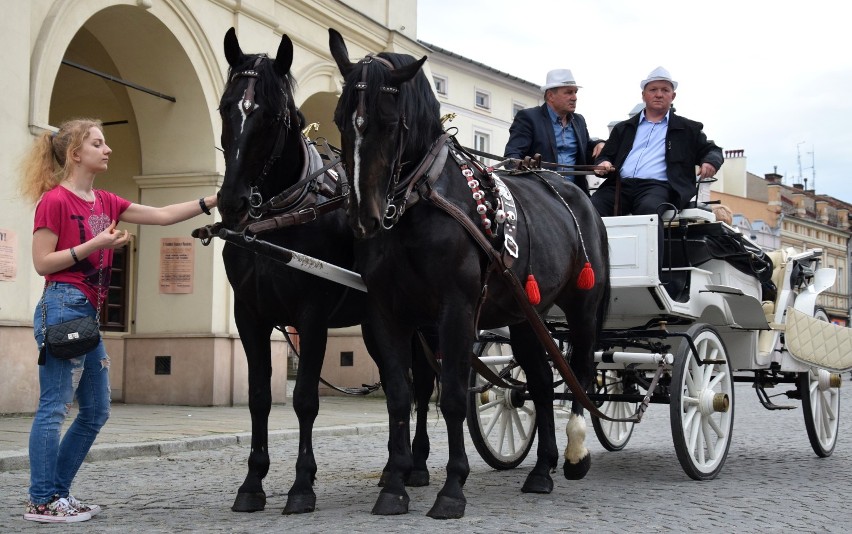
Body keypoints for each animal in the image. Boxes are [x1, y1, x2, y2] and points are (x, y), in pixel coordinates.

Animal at [215, 28, 440, 520]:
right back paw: (395, 468)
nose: (232, 202)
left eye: (271, 115)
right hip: (378, 323)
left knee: (425, 383)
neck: (277, 219)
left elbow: (304, 399)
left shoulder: (312, 315)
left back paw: (415, 465)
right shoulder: (249, 316)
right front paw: (253, 483)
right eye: (225, 107)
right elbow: (259, 397)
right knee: (401, 384)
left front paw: (302, 484)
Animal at [328, 28, 612, 520]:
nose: (363, 217)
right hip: (525, 316)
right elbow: (401, 394)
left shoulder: (456, 311)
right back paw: (542, 470)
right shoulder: (386, 312)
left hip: (583, 305)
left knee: (579, 369)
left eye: (391, 123)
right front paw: (395, 484)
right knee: (540, 384)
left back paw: (575, 452)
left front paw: (451, 488)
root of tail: (574, 190)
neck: (417, 205)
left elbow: (455, 396)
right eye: (342, 119)